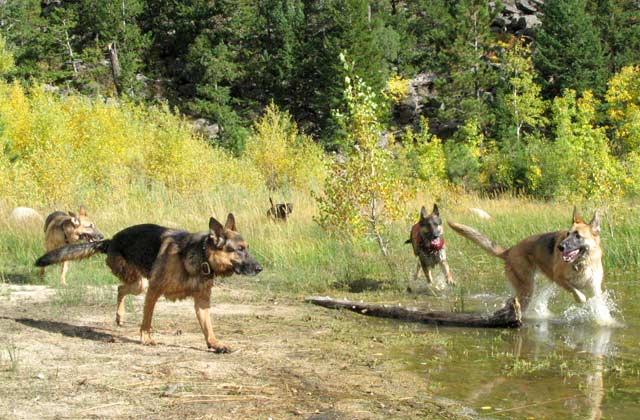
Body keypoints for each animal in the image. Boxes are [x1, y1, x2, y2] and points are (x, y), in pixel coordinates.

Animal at [35, 215, 262, 352]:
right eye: (239, 249)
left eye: (247, 248)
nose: (260, 268)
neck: (201, 255)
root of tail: (110, 240)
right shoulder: (154, 290)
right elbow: (147, 320)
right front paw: (146, 338)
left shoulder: (202, 303)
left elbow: (208, 327)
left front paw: (214, 344)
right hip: (140, 285)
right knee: (121, 288)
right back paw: (120, 315)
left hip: (139, 284)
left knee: (120, 288)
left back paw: (119, 316)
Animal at [448, 208, 604, 310]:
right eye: (567, 234)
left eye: (577, 236)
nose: (560, 247)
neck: (582, 263)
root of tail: (510, 250)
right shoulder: (559, 278)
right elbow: (578, 294)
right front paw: (582, 299)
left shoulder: (595, 287)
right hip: (527, 289)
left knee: (510, 301)